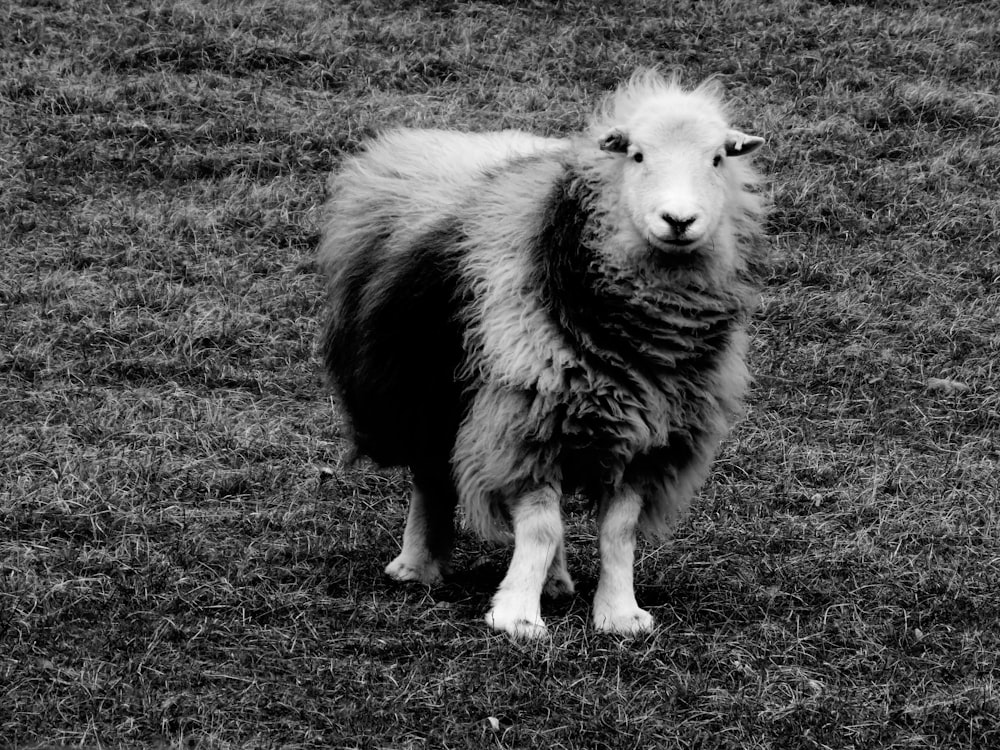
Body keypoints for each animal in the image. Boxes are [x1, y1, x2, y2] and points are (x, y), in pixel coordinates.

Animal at [318, 70, 764, 640]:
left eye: (718, 159)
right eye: (637, 155)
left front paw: (619, 614)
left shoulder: (646, 437)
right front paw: (517, 618)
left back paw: (555, 582)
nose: (679, 220)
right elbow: (542, 527)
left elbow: (616, 533)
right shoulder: (523, 419)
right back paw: (417, 566)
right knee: (431, 476)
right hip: (416, 385)